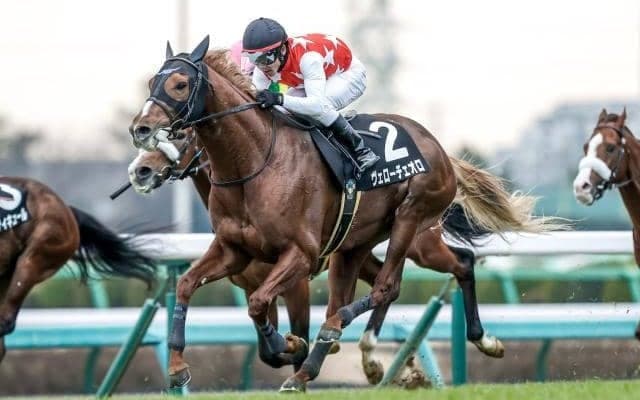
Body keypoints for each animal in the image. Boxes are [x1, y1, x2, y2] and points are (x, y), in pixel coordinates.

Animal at [129, 37, 555, 391]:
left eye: (180, 85)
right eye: (152, 82)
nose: (140, 133)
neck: (255, 164)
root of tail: (438, 148)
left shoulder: (299, 258)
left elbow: (263, 308)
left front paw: (290, 344)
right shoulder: (233, 252)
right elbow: (188, 285)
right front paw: (177, 368)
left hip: (413, 220)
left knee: (392, 285)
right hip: (353, 247)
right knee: (390, 283)